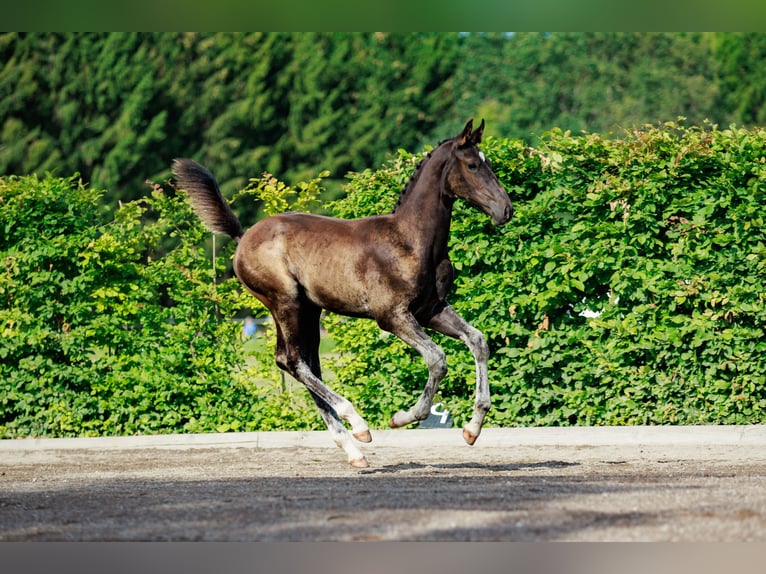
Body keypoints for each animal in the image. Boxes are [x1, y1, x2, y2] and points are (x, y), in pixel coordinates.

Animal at [171, 118, 512, 468]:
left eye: (487, 162)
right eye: (472, 165)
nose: (506, 209)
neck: (411, 240)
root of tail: (242, 237)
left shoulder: (431, 309)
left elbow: (477, 340)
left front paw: (472, 429)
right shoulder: (392, 317)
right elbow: (436, 358)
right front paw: (404, 416)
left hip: (309, 310)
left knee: (303, 362)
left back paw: (353, 449)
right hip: (286, 302)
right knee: (292, 360)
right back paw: (358, 426)